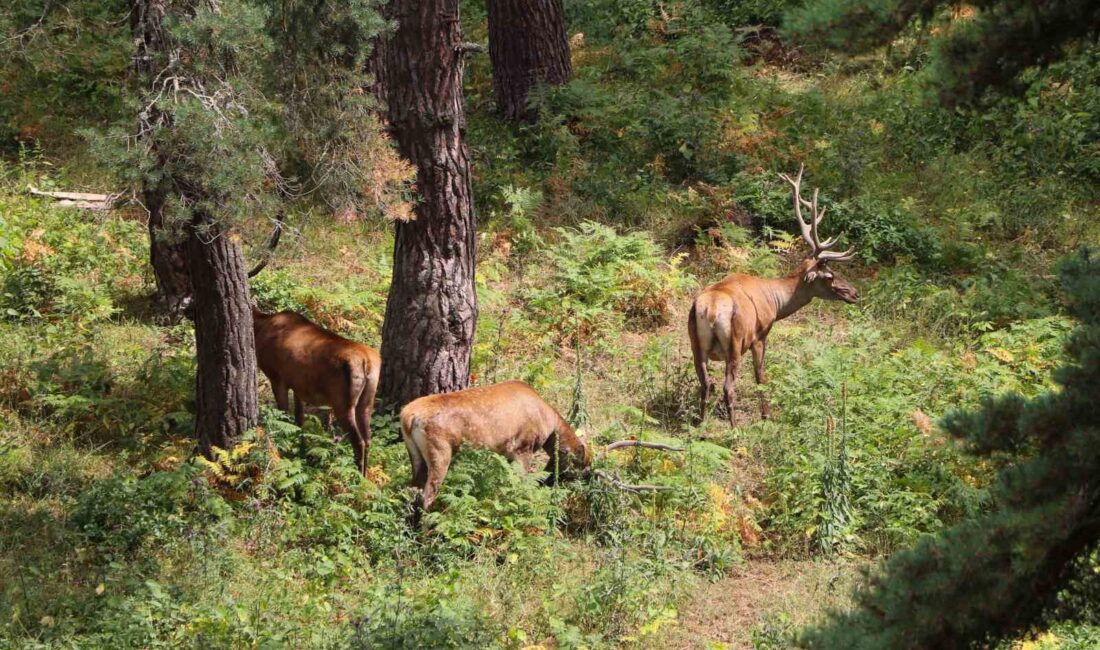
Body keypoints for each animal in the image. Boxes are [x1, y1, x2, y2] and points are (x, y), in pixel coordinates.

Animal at [251, 307, 380, 475]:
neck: (259, 326)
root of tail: (367, 362)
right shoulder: (298, 386)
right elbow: (299, 419)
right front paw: (301, 449)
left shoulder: (276, 377)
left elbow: (283, 416)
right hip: (367, 400)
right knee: (368, 437)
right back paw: (366, 475)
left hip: (342, 401)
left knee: (359, 441)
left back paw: (358, 476)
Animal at [686, 164, 858, 424]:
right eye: (829, 276)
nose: (855, 293)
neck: (775, 302)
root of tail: (712, 310)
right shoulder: (760, 334)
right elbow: (760, 376)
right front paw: (767, 414)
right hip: (735, 342)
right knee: (728, 386)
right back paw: (735, 428)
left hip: (695, 342)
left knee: (705, 384)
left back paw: (700, 424)